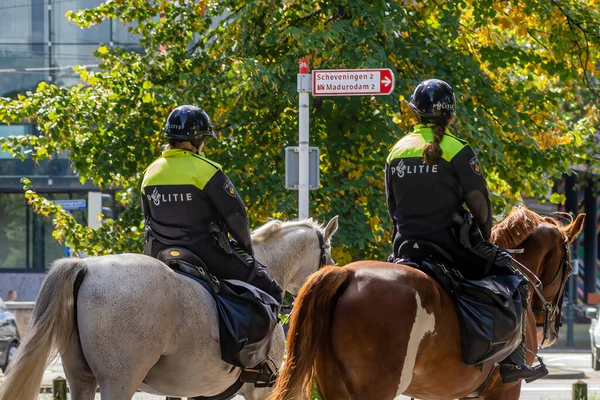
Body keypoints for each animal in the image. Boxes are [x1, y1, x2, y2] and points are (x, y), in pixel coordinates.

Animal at [0, 216, 338, 400]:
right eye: (328, 255)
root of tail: (86, 267)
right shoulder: (261, 391)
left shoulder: (204, 391)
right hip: (118, 382)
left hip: (80, 380)